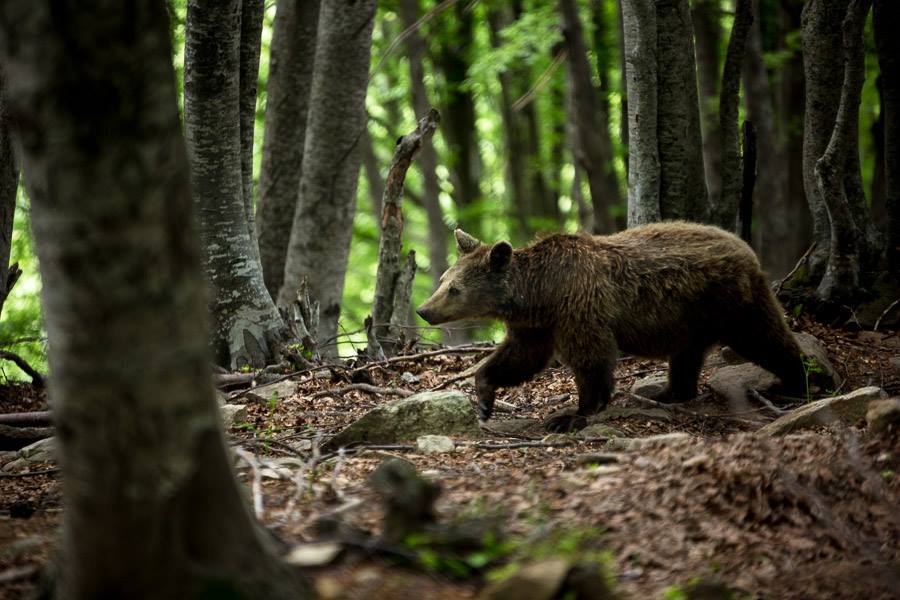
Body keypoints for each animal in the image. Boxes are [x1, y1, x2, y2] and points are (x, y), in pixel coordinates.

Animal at [416, 221, 808, 432]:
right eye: (444, 279)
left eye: (454, 288)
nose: (423, 309)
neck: (539, 293)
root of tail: (745, 246)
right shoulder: (538, 325)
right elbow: (519, 358)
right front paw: (483, 398)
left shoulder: (578, 309)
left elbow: (591, 360)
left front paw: (572, 415)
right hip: (689, 318)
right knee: (686, 356)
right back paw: (668, 392)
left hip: (730, 303)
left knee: (766, 338)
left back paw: (797, 381)